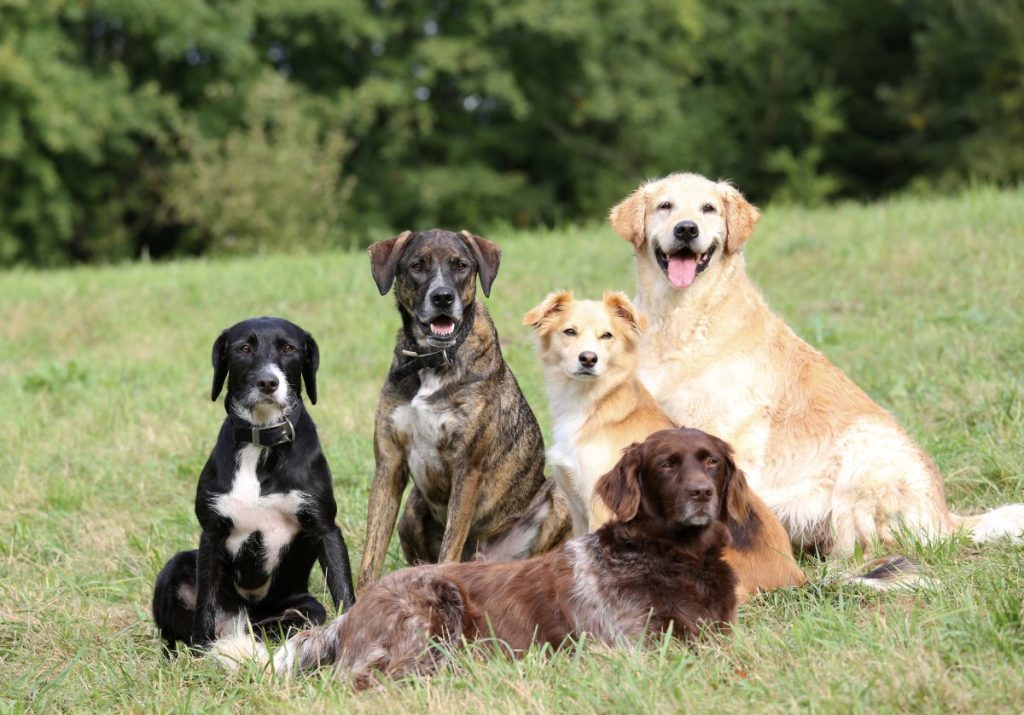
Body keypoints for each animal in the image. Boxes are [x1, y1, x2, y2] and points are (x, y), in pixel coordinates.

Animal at [151, 315, 356, 647]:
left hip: (304, 606)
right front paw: (202, 650)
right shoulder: (211, 534)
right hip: (176, 566)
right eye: (244, 348)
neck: (261, 444)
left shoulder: (325, 527)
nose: (268, 383)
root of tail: (241, 617)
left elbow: (343, 590)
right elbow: (204, 605)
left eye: (288, 348)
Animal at [358, 229, 569, 590]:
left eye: (461, 266)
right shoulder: (389, 465)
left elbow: (449, 549)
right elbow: (369, 561)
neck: (432, 360)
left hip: (559, 499)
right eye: (417, 265)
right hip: (411, 510)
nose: (443, 297)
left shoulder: (467, 467)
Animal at [606, 171, 1024, 553]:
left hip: (864, 450)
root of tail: (946, 517)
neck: (682, 318)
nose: (687, 229)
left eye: (708, 208)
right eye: (666, 206)